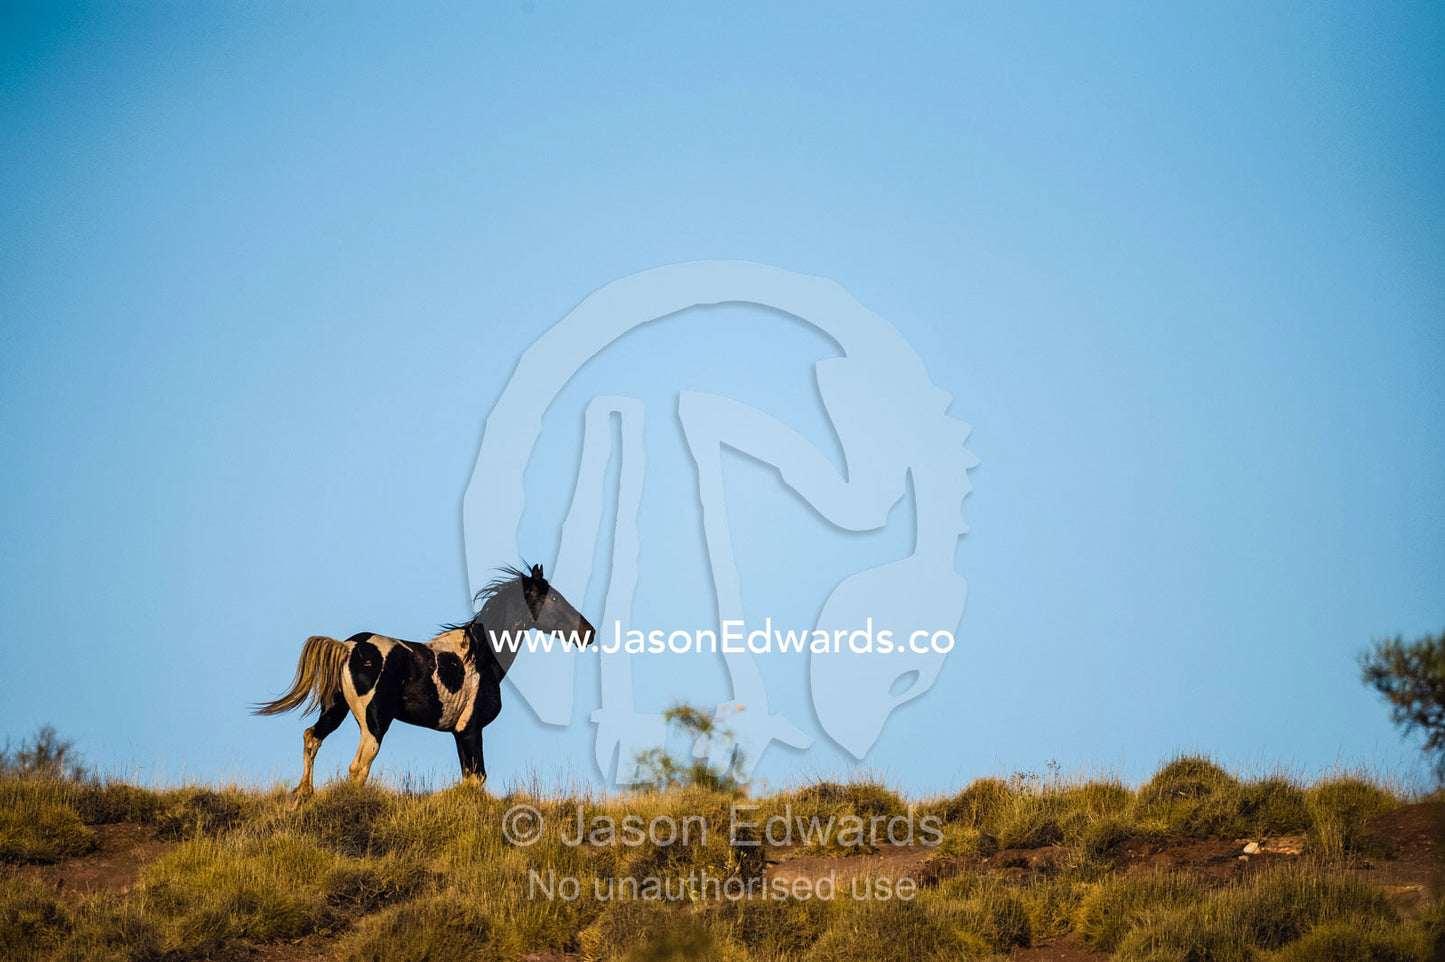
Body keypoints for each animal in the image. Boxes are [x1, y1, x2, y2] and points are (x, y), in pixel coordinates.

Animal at [255, 564, 594, 805]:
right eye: (554, 597)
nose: (588, 632)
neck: (481, 656)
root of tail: (348, 647)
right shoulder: (470, 729)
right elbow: (477, 779)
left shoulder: (459, 733)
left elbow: (471, 778)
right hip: (374, 722)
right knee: (358, 767)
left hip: (335, 709)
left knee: (312, 737)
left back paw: (303, 793)